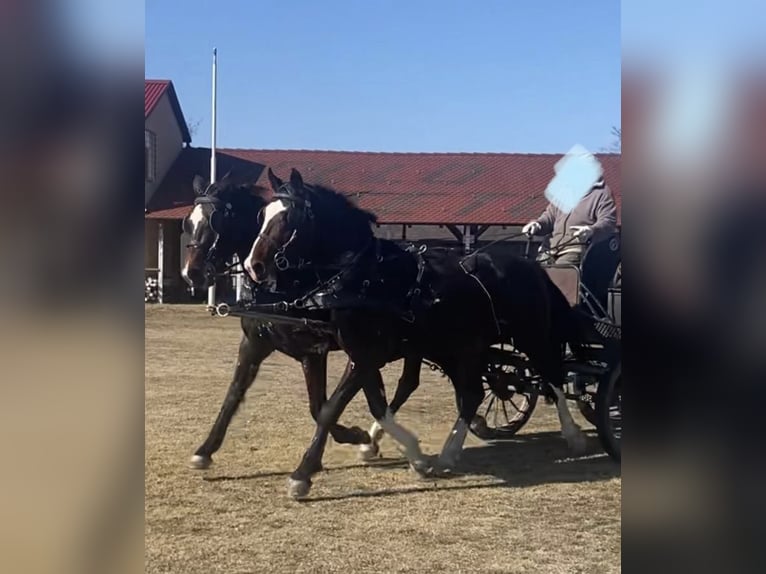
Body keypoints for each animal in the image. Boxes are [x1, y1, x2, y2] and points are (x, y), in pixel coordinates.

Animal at [180, 172, 424, 469]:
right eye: (189, 221)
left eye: (216, 220)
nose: (191, 273)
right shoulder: (254, 343)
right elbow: (234, 393)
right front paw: (205, 450)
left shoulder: (314, 351)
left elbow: (320, 407)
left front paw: (354, 436)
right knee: (405, 383)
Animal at [244, 168, 588, 498]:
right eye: (263, 215)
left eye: (288, 217)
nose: (253, 266)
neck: (365, 276)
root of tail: (532, 267)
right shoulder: (361, 355)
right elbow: (376, 404)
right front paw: (401, 452)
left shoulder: (367, 354)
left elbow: (331, 408)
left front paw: (302, 475)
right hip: (461, 347)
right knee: (472, 394)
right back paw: (447, 455)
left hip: (530, 337)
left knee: (552, 377)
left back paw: (573, 435)